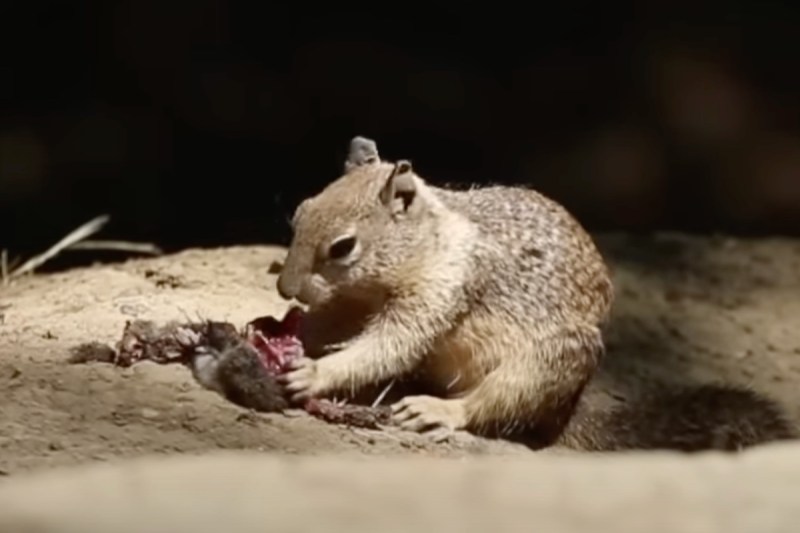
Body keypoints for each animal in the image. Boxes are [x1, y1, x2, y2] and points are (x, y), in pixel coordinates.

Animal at [241, 135, 796, 451]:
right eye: (301, 212)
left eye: (343, 247)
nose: (284, 287)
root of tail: (565, 411)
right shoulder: (351, 302)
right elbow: (331, 323)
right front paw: (272, 326)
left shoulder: (441, 292)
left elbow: (389, 347)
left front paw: (314, 372)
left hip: (544, 367)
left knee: (493, 406)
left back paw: (436, 411)